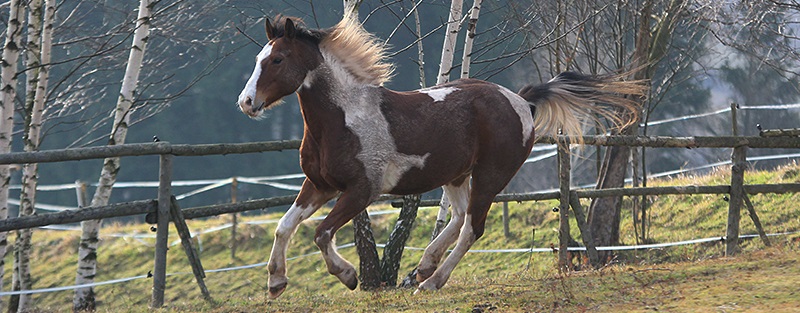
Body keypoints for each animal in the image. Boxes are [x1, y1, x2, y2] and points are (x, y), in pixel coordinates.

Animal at [234, 15, 640, 298]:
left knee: (472, 227)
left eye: (278, 59)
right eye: (258, 58)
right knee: (459, 217)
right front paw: (276, 282)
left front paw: (348, 276)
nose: (246, 102)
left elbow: (321, 234)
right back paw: (424, 266)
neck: (343, 118)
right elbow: (284, 226)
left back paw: (431, 281)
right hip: (456, 175)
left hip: (491, 175)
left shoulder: (361, 191)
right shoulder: (319, 186)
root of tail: (521, 101)